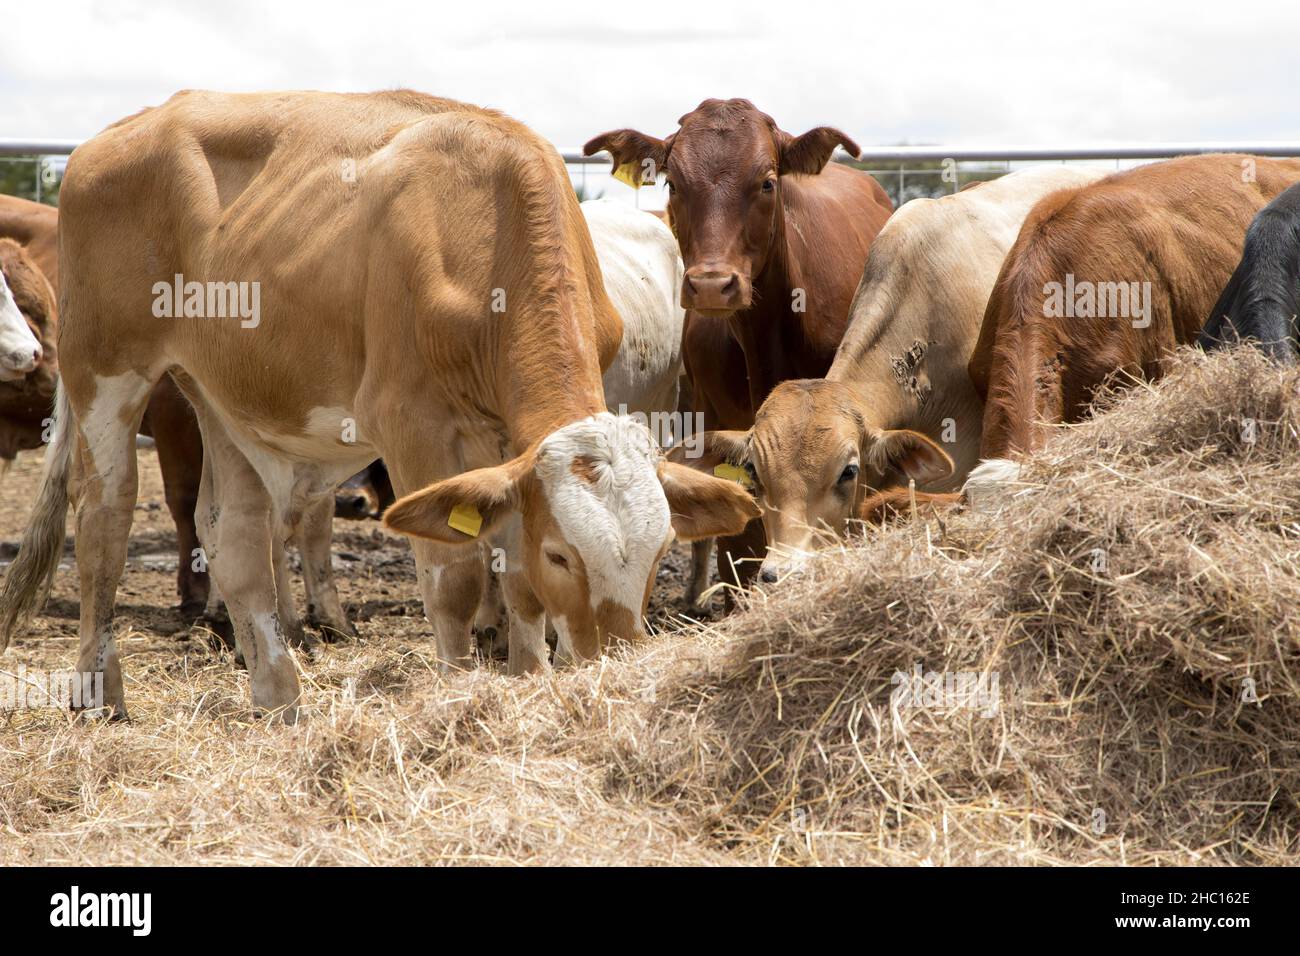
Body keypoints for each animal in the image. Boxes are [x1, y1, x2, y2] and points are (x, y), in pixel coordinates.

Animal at [0, 89, 757, 721]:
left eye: (659, 552)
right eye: (563, 555)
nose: (615, 668)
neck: (489, 225)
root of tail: (116, 134)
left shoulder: (508, 446)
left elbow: (512, 578)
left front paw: (530, 678)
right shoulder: (412, 425)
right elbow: (456, 576)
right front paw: (459, 691)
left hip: (219, 392)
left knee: (232, 533)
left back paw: (279, 697)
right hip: (107, 369)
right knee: (105, 516)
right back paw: (101, 695)